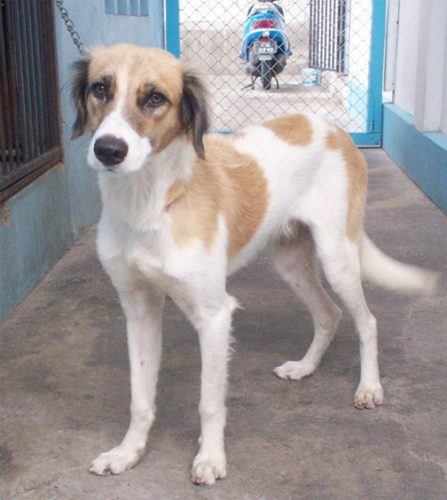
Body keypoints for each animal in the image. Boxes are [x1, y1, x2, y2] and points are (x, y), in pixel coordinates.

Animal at [72, 44, 440, 484]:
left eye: (155, 98)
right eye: (100, 88)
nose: (108, 150)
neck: (148, 204)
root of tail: (332, 128)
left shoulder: (214, 316)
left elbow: (209, 402)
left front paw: (211, 458)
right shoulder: (139, 309)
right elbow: (140, 397)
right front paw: (128, 452)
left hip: (337, 256)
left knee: (366, 321)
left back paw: (369, 388)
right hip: (291, 263)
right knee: (329, 314)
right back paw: (305, 367)